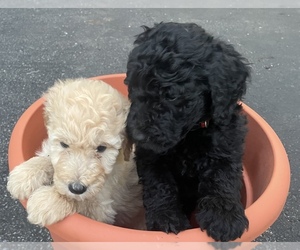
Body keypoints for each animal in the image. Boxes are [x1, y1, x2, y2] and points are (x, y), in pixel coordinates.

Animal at [124, 22, 251, 241]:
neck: (190, 134)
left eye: (171, 96)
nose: (137, 135)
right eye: (131, 87)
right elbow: (159, 184)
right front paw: (165, 216)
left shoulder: (227, 145)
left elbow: (222, 177)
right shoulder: (150, 156)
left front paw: (224, 216)